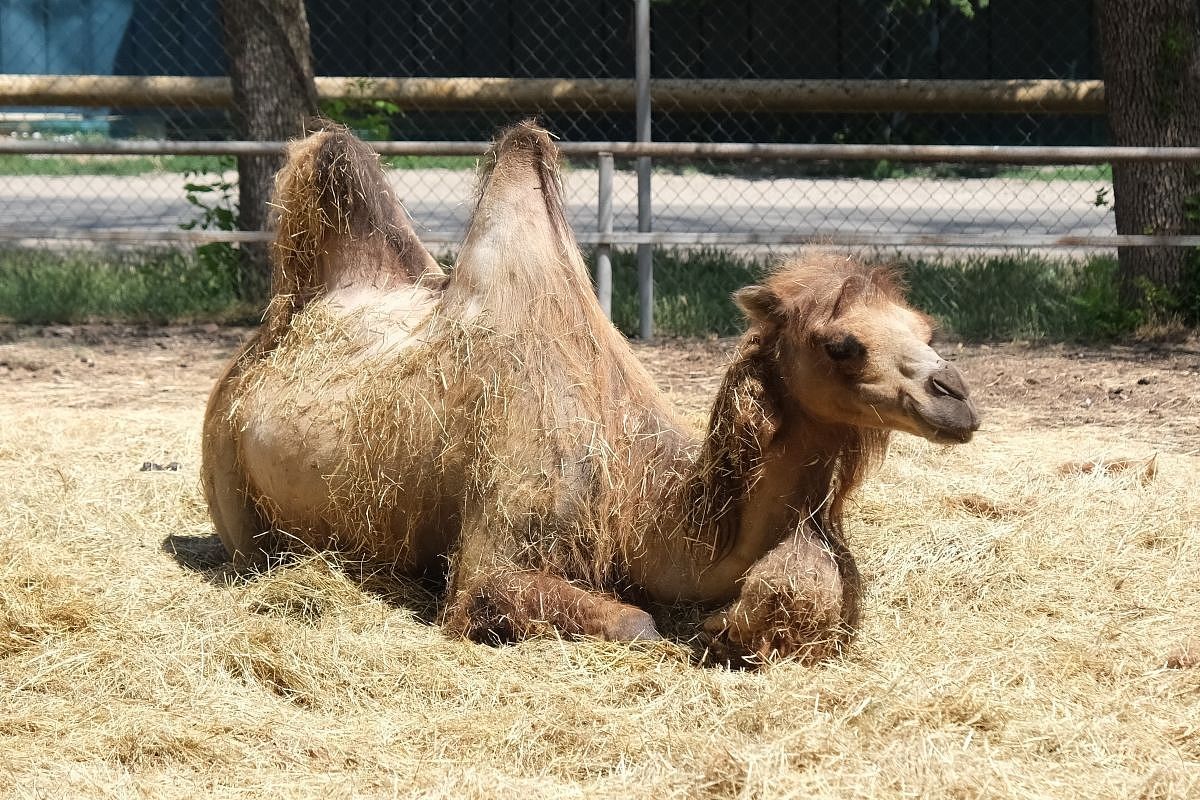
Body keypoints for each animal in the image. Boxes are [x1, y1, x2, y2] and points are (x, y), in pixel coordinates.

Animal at [201, 122, 979, 666]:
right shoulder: (498, 546)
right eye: (841, 344)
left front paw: (728, 630)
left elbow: (814, 586)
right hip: (229, 479)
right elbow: (633, 622)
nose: (957, 399)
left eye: (927, 327)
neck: (640, 495)